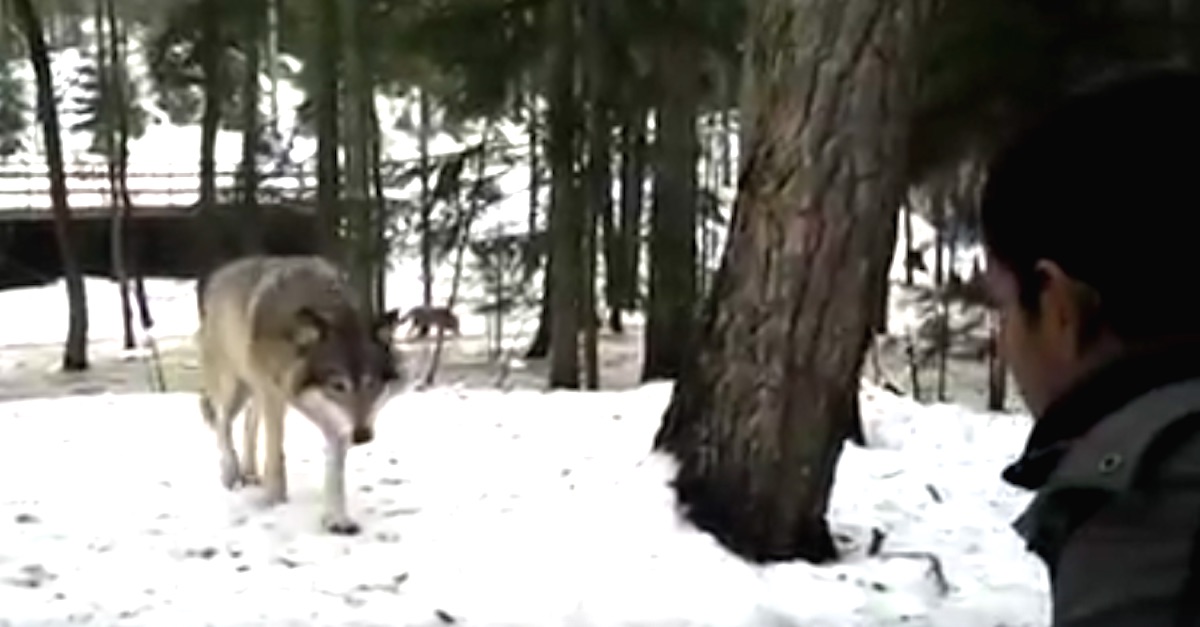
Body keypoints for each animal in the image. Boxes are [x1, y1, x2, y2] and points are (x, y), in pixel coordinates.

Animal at [195, 255, 405, 534]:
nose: (362, 436)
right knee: (222, 422)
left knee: (249, 423)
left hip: (256, 392)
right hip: (236, 387)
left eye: (370, 383)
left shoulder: (334, 418)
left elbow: (335, 470)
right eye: (338, 385)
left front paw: (337, 519)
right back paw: (232, 473)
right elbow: (276, 456)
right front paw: (275, 503)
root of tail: (219, 275)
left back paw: (250, 473)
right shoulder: (275, 395)